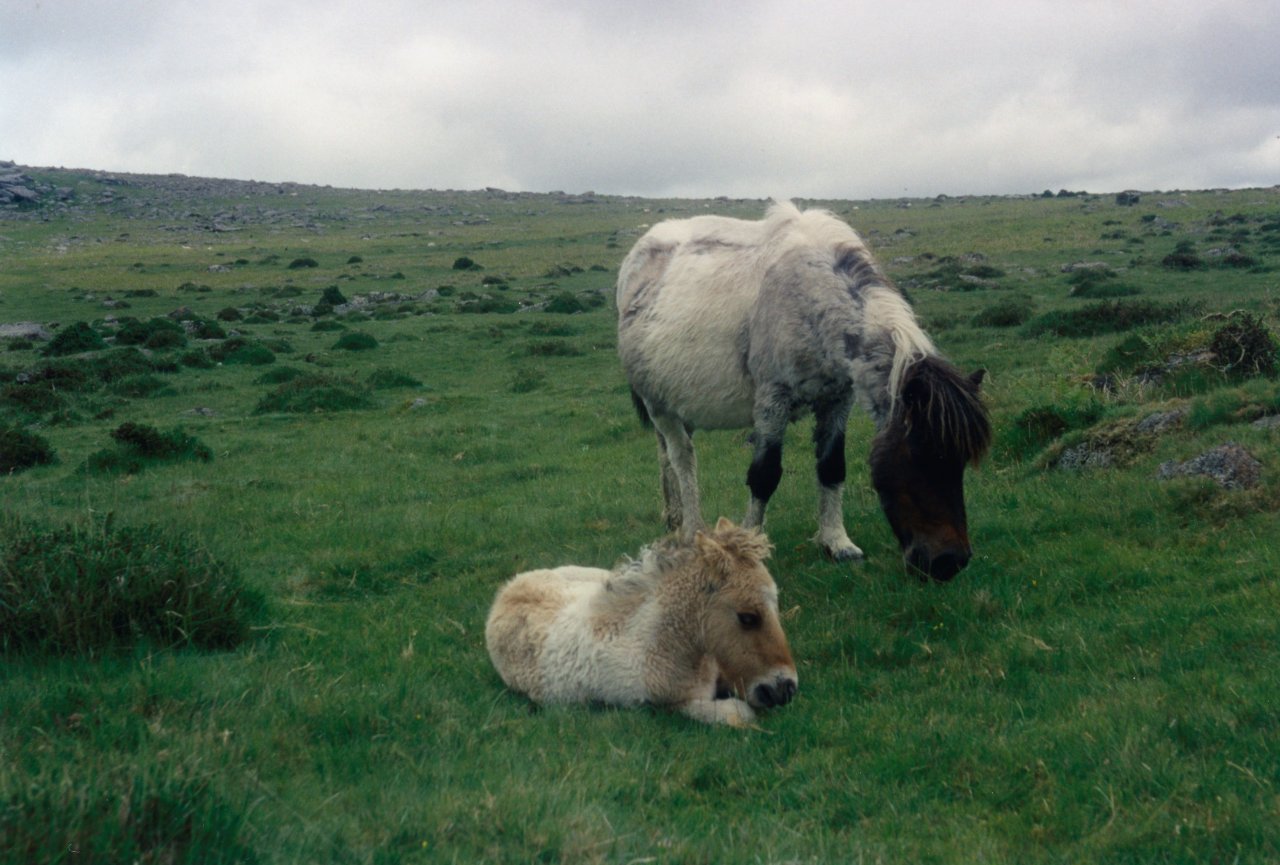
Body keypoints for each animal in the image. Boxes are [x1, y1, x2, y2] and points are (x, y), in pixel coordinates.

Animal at [614, 200, 993, 580]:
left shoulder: (838, 400)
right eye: (919, 454)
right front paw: (751, 547)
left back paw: (674, 520)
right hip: (658, 405)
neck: (809, 297)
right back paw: (692, 529)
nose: (949, 562)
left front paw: (837, 542)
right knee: (682, 458)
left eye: (960, 461)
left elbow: (832, 468)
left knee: (667, 457)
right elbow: (764, 476)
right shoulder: (773, 401)